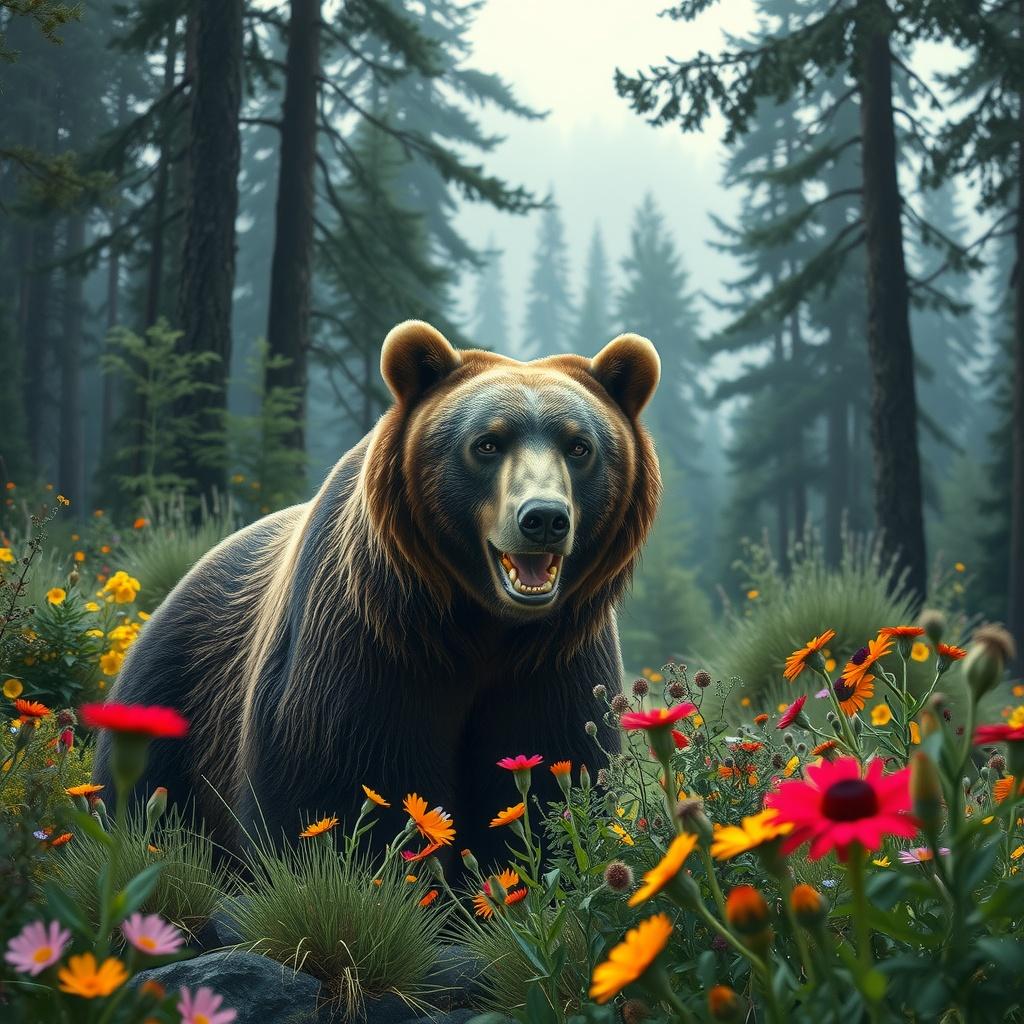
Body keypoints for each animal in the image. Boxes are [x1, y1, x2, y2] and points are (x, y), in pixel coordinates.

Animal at [94, 320, 661, 872]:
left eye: (579, 446)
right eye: (487, 443)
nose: (543, 518)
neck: (479, 627)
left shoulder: (550, 664)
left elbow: (549, 780)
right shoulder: (370, 647)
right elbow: (339, 790)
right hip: (175, 692)